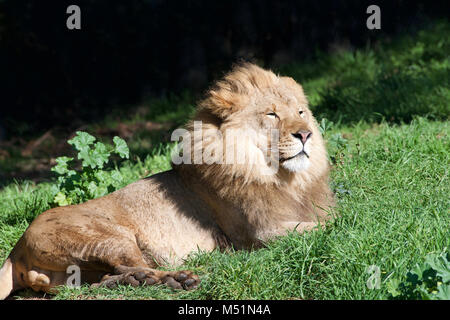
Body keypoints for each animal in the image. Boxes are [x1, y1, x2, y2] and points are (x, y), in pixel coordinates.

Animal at [0, 63, 334, 300]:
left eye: (301, 112)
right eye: (271, 114)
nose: (306, 134)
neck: (285, 178)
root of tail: (16, 248)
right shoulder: (257, 233)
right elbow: (328, 225)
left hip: (81, 271)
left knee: (108, 279)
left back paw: (151, 281)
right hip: (108, 238)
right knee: (132, 265)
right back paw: (180, 278)